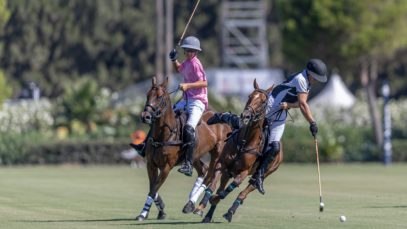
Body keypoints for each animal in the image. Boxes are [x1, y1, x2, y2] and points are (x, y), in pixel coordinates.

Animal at [135, 77, 233, 222]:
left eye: (160, 97)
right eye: (147, 95)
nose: (145, 116)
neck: (164, 134)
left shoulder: (167, 167)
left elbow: (153, 189)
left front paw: (143, 213)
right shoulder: (150, 164)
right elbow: (152, 187)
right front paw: (160, 210)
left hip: (217, 152)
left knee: (210, 175)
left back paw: (195, 205)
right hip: (195, 155)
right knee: (203, 170)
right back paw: (190, 202)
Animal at [194, 79, 284, 223]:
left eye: (264, 102)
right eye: (249, 96)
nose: (246, 116)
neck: (244, 142)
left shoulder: (244, 171)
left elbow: (230, 188)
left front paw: (215, 199)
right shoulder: (222, 165)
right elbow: (213, 187)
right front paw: (201, 207)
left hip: (262, 174)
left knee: (244, 192)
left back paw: (230, 212)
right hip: (228, 172)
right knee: (222, 187)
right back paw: (208, 215)